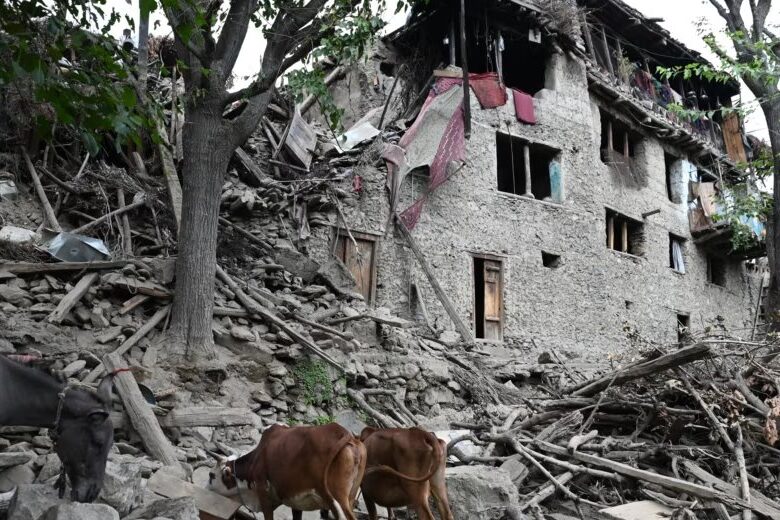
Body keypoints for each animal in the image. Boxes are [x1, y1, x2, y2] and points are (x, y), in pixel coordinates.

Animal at [208, 423, 366, 520]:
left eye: (211, 475)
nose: (206, 488)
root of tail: (348, 436)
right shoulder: (296, 501)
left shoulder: (263, 492)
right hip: (349, 497)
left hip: (336, 499)